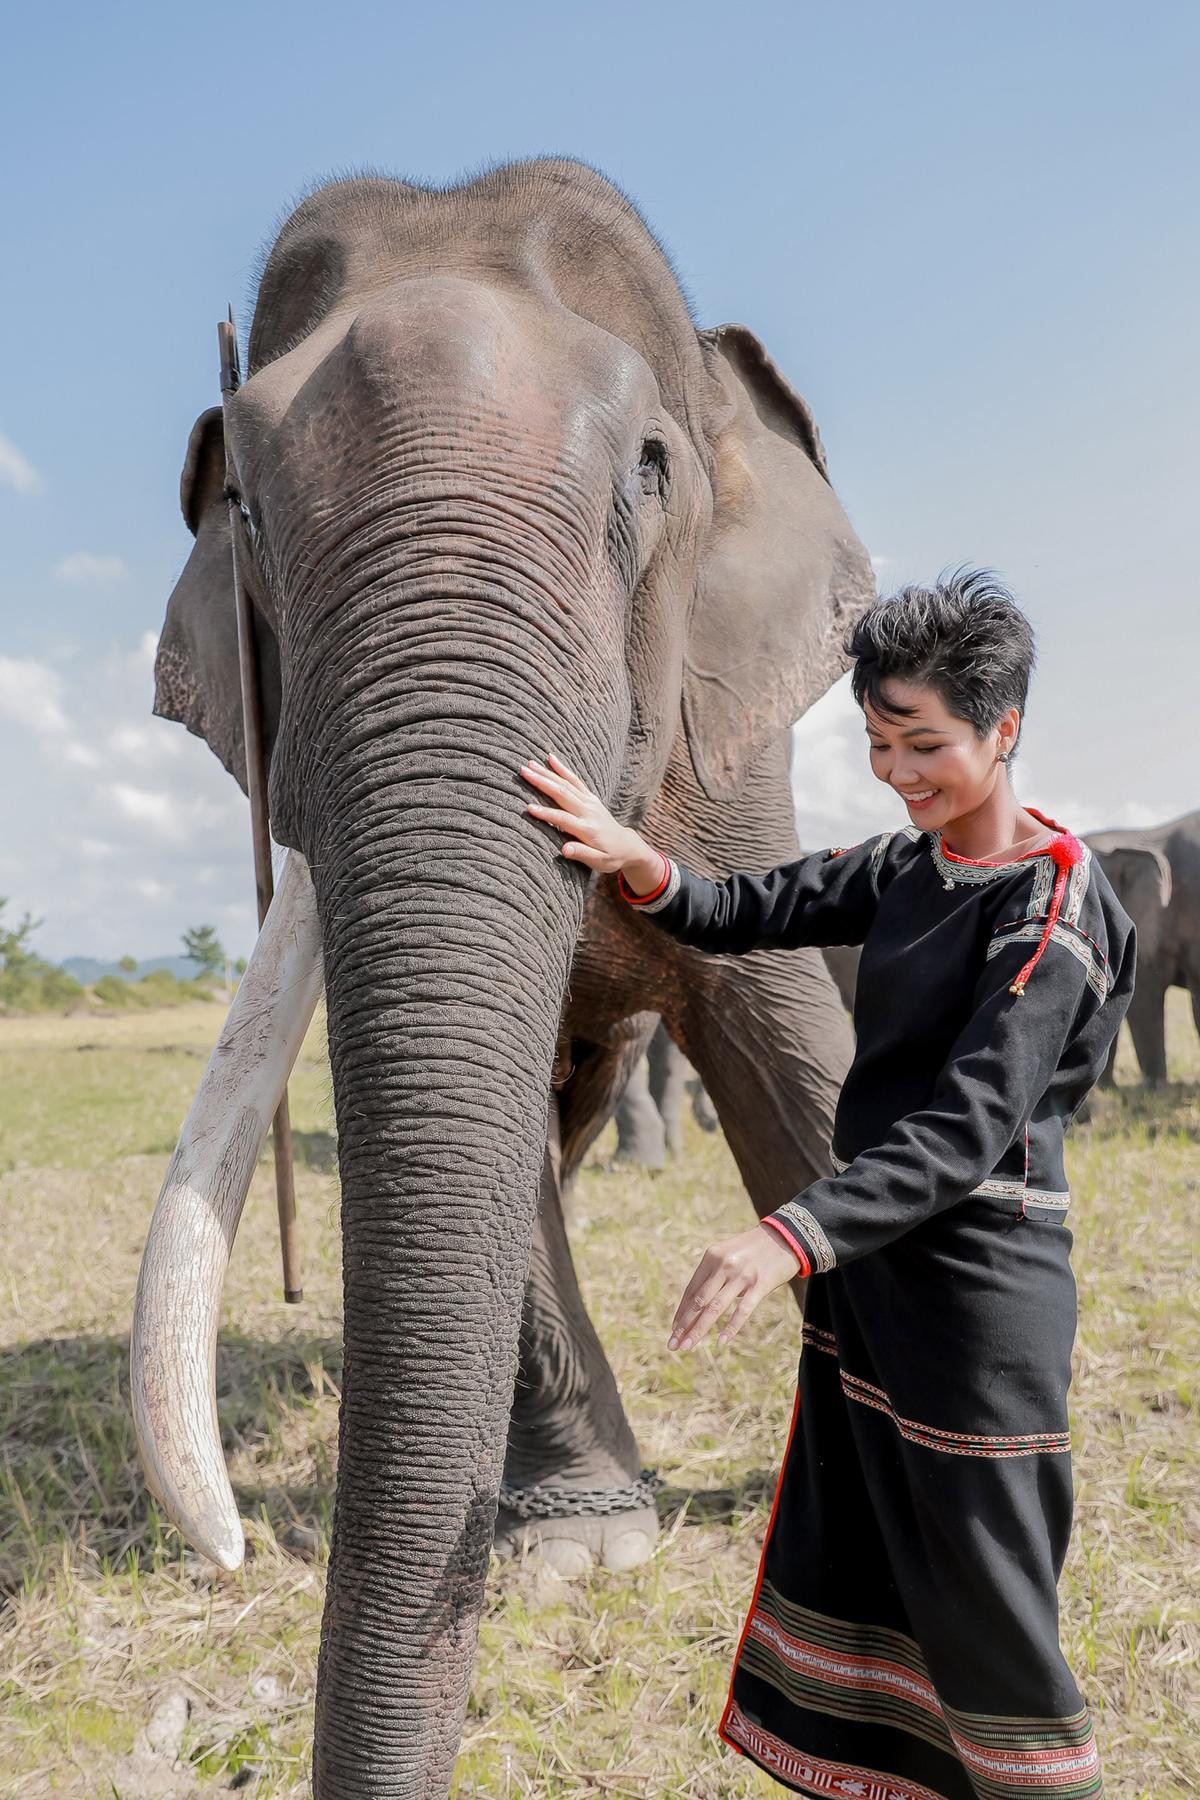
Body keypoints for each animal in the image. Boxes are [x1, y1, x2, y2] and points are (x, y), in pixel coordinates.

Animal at [134, 162, 874, 1792]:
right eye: (247, 514)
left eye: (648, 476)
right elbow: (484, 1145)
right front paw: (585, 1551)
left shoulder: (730, 735)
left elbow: (786, 1031)